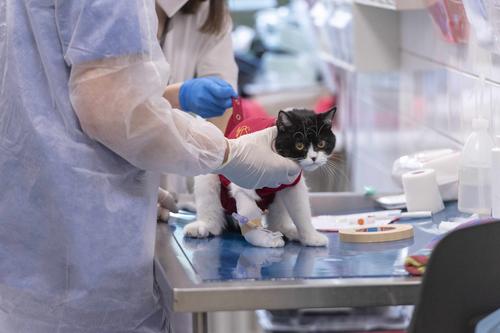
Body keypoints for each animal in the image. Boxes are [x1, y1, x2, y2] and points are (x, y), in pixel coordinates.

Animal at [184, 107, 336, 246]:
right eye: (299, 145)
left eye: (321, 143)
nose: (314, 158)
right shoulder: (244, 175)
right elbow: (247, 208)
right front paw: (260, 238)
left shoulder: (293, 183)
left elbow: (301, 210)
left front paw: (311, 237)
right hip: (209, 176)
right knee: (211, 210)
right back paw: (203, 227)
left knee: (278, 219)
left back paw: (288, 230)